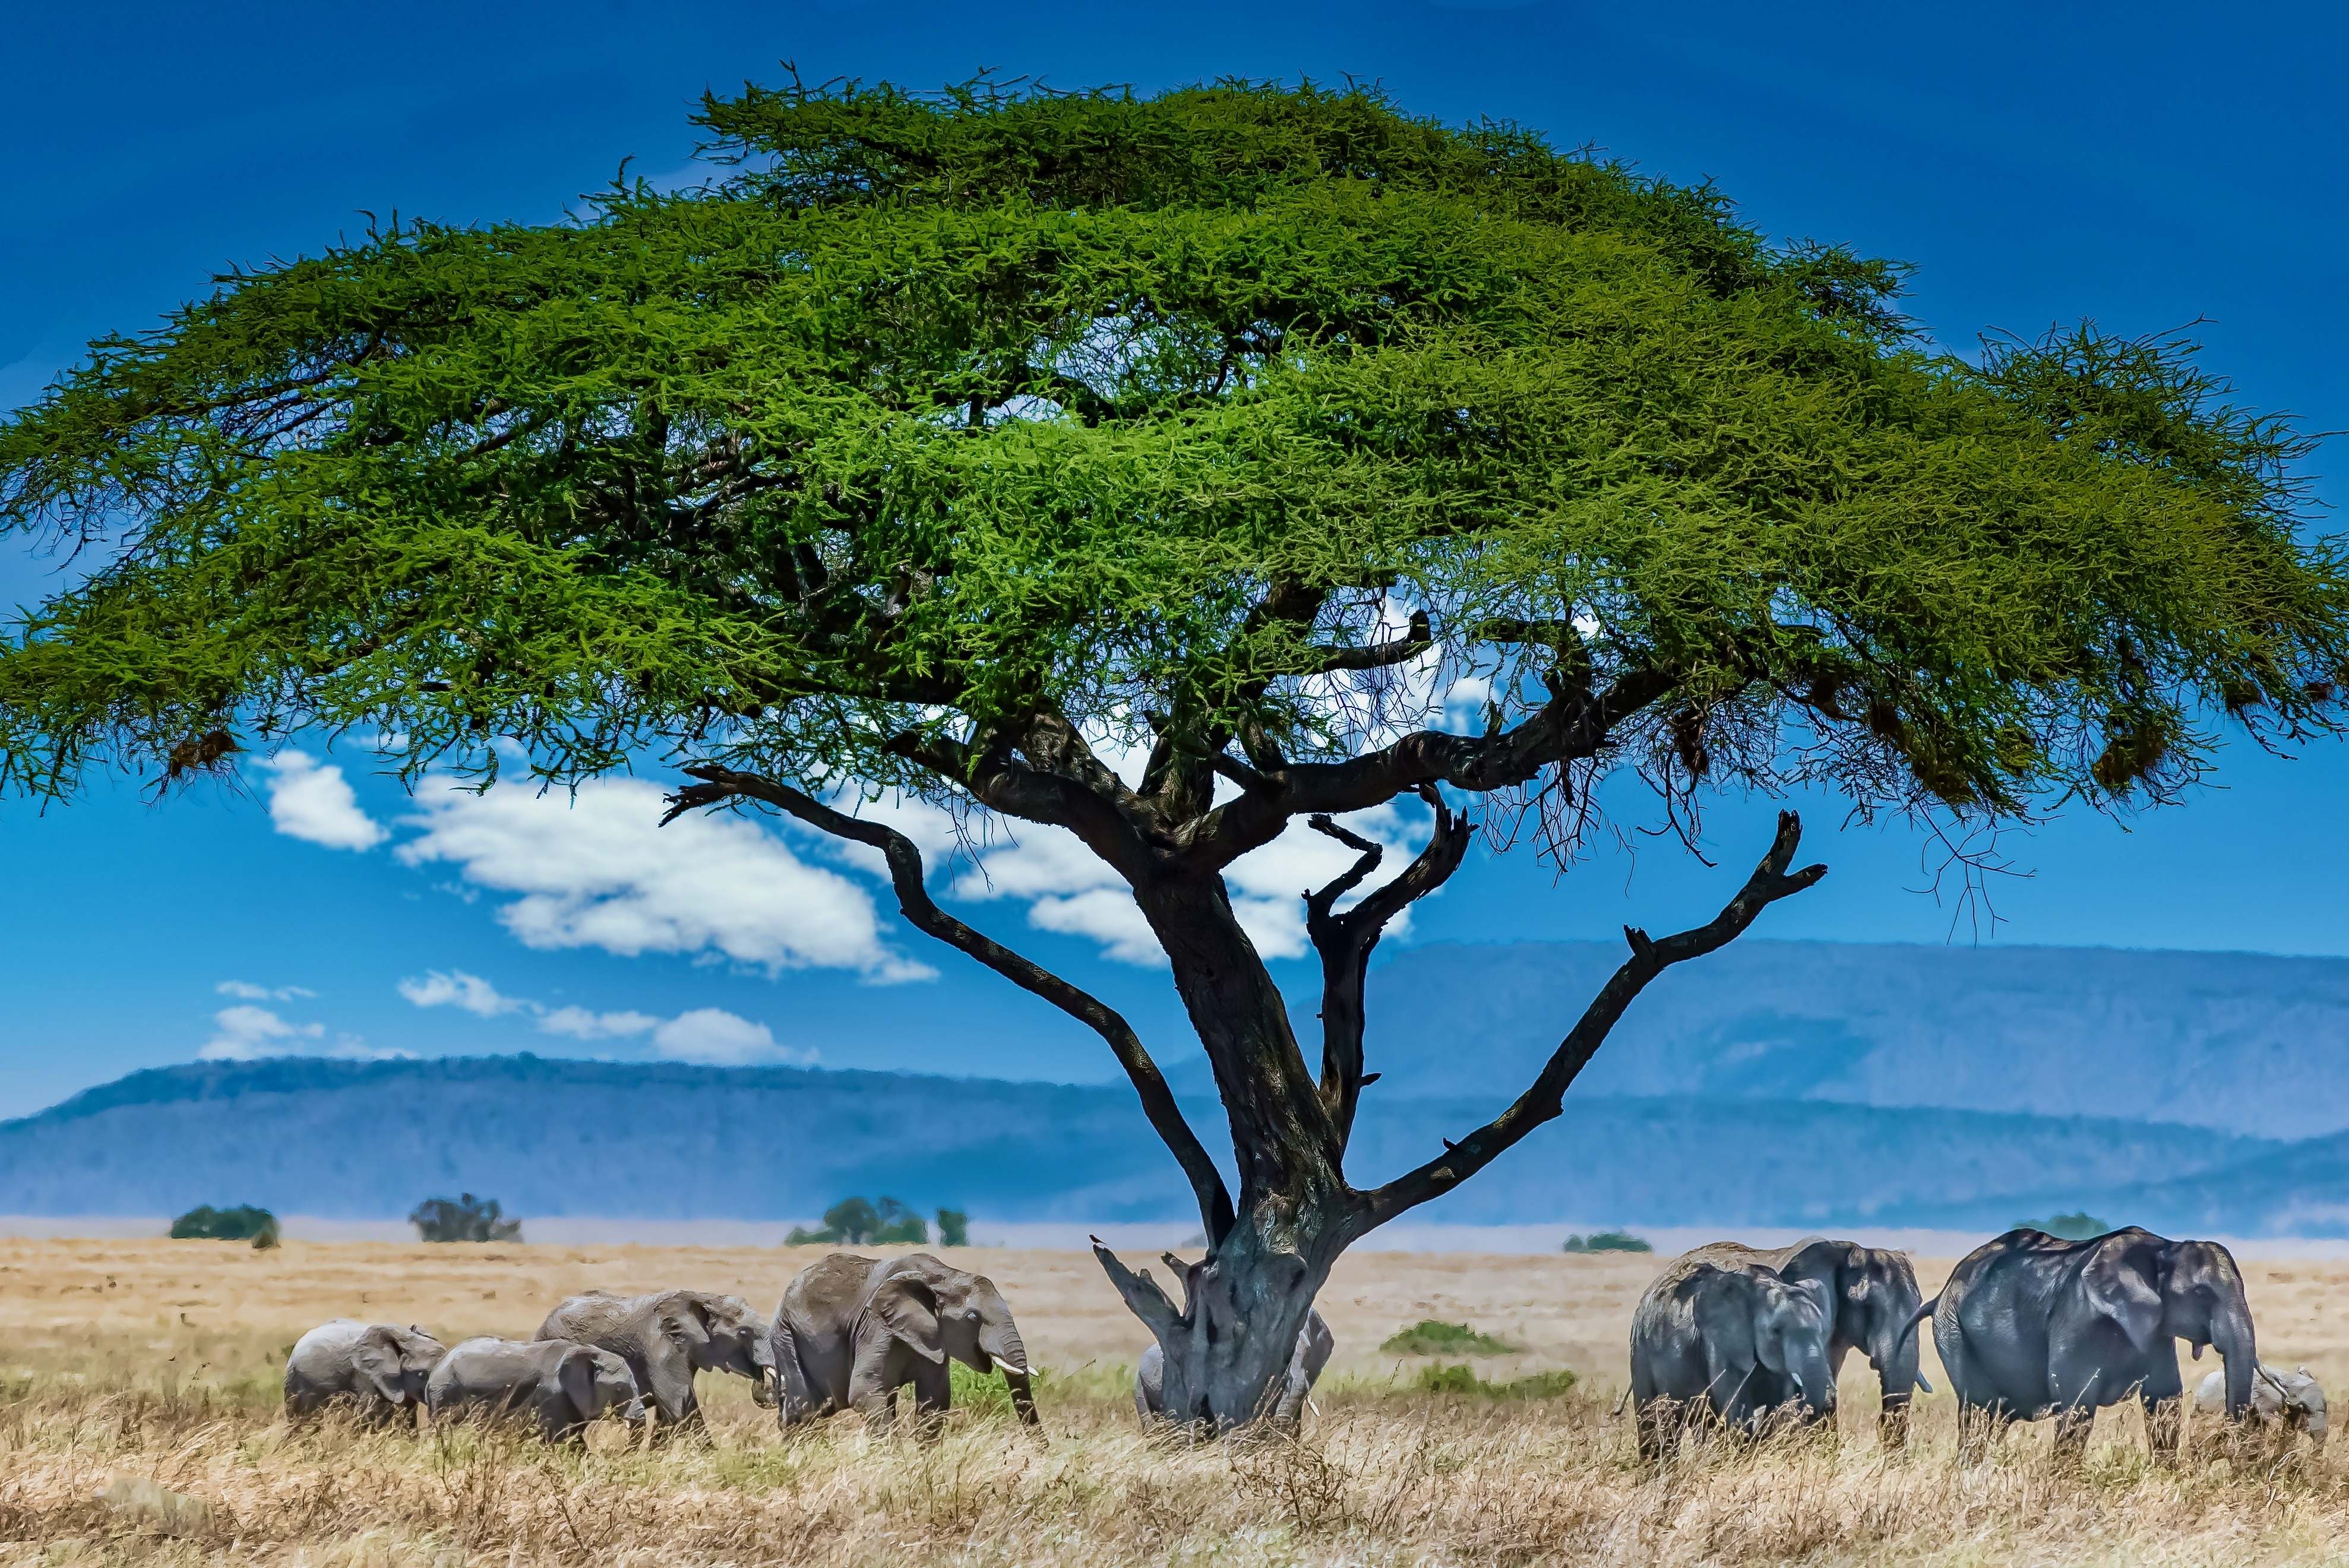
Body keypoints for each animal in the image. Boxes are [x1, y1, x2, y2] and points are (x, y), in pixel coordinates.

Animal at [536, 1289, 777, 1432]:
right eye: (744, 1333)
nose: (762, 1380)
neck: (702, 1298)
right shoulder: (659, 1349)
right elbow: (680, 1409)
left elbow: (668, 1416)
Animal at [771, 1252, 1037, 1433]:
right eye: (973, 1318)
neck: (945, 1276)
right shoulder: (876, 1327)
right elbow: (864, 1392)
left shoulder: (934, 1340)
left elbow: (935, 1403)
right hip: (786, 1334)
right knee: (802, 1408)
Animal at [1630, 1258, 1837, 1460]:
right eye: (1776, 1331)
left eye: (1823, 1332)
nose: (1824, 1406)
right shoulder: (1720, 1344)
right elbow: (1739, 1414)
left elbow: (1777, 1409)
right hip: (1640, 1350)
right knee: (1652, 1425)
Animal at [1913, 1226, 2257, 1462]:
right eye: (2201, 1294)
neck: (2165, 1249)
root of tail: (1944, 1291)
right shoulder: (2078, 1321)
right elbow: (2078, 1407)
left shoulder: (2157, 1332)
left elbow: (2164, 1402)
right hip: (1953, 1331)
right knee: (1979, 1413)